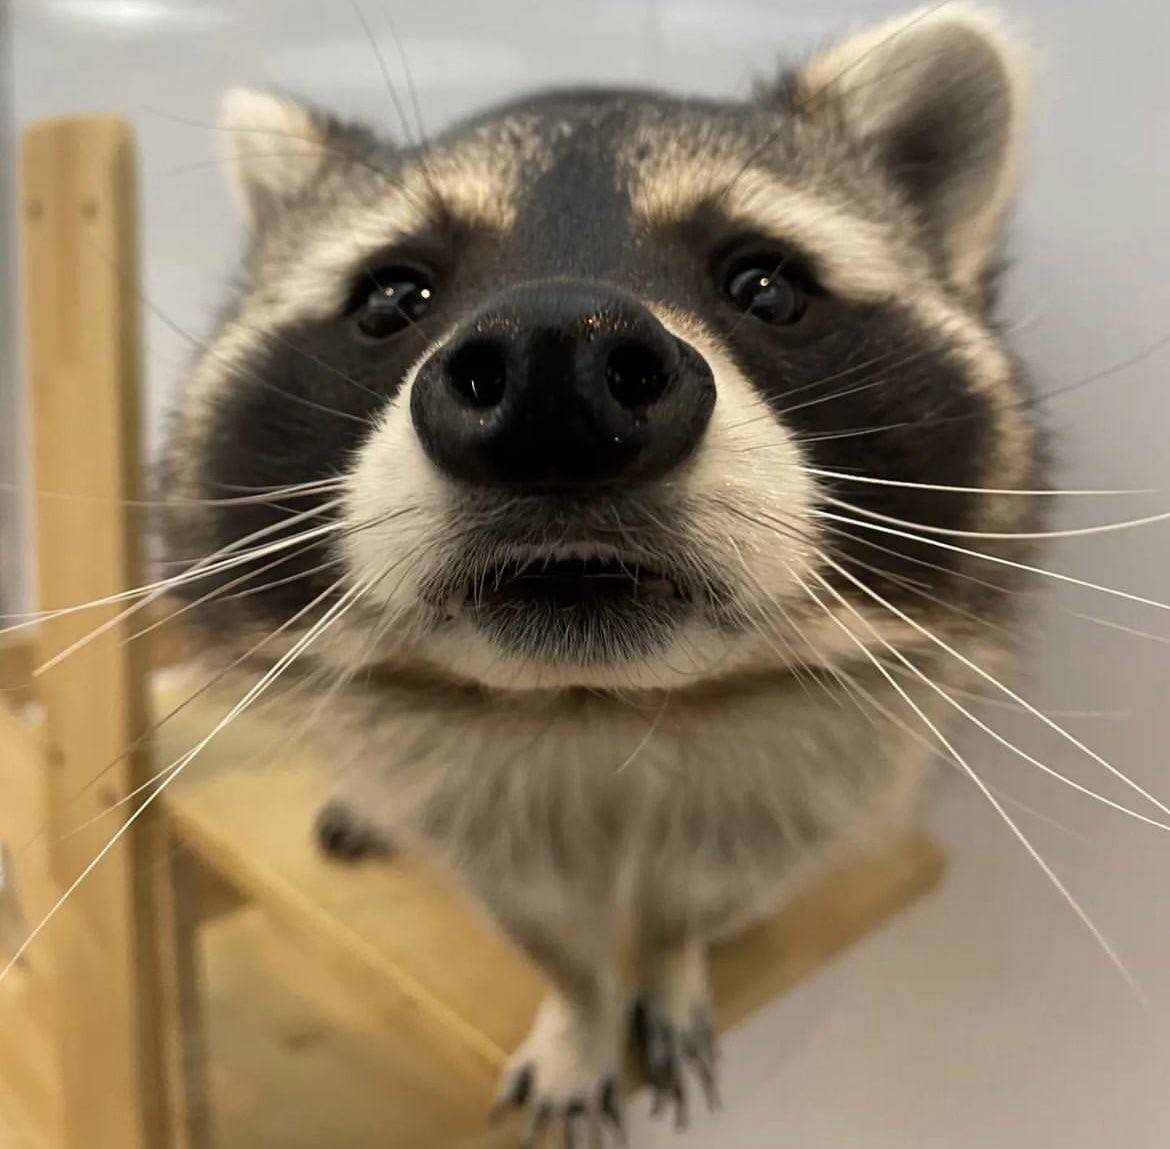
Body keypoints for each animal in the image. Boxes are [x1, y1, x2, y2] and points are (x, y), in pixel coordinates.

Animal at [160, 4, 1043, 1141]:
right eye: (393, 296)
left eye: (766, 284)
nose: (555, 373)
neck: (603, 704)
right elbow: (535, 920)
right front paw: (580, 1010)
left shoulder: (820, 767)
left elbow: (714, 886)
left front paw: (670, 957)